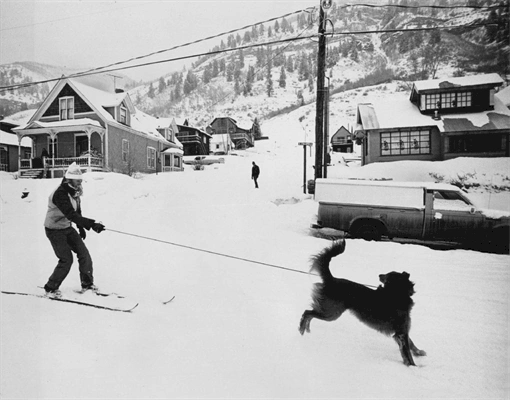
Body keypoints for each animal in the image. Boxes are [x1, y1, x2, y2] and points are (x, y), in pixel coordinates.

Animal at [298, 239, 426, 368]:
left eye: (387, 275)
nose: (379, 274)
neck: (396, 294)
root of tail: (332, 280)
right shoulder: (400, 333)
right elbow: (407, 353)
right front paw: (413, 367)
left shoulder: (403, 330)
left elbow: (411, 343)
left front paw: (419, 352)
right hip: (331, 313)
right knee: (307, 312)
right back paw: (302, 329)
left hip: (329, 311)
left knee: (311, 313)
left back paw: (306, 329)